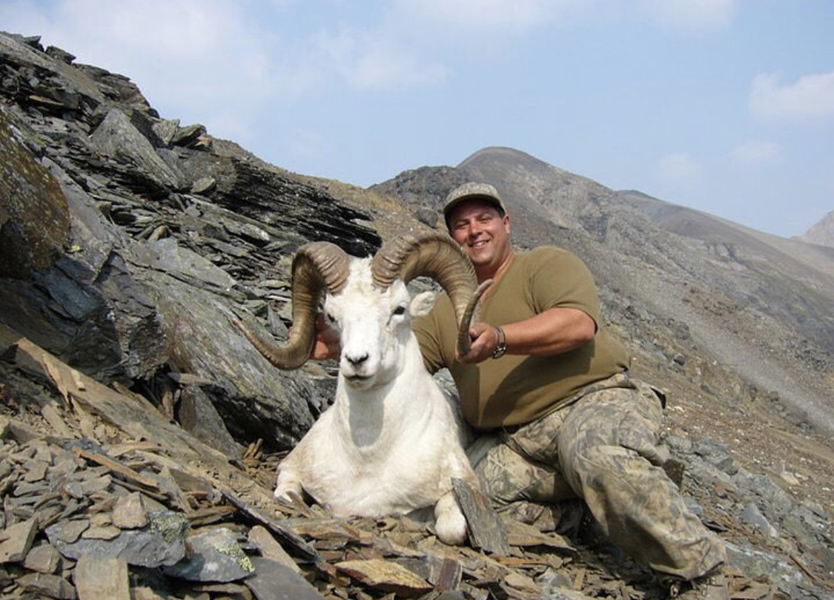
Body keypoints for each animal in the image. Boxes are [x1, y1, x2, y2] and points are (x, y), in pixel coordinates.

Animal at [234, 232, 490, 545]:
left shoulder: (461, 486)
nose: (357, 360)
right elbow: (285, 493)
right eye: (332, 316)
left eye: (399, 309)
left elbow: (450, 529)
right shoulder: (290, 468)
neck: (365, 460)